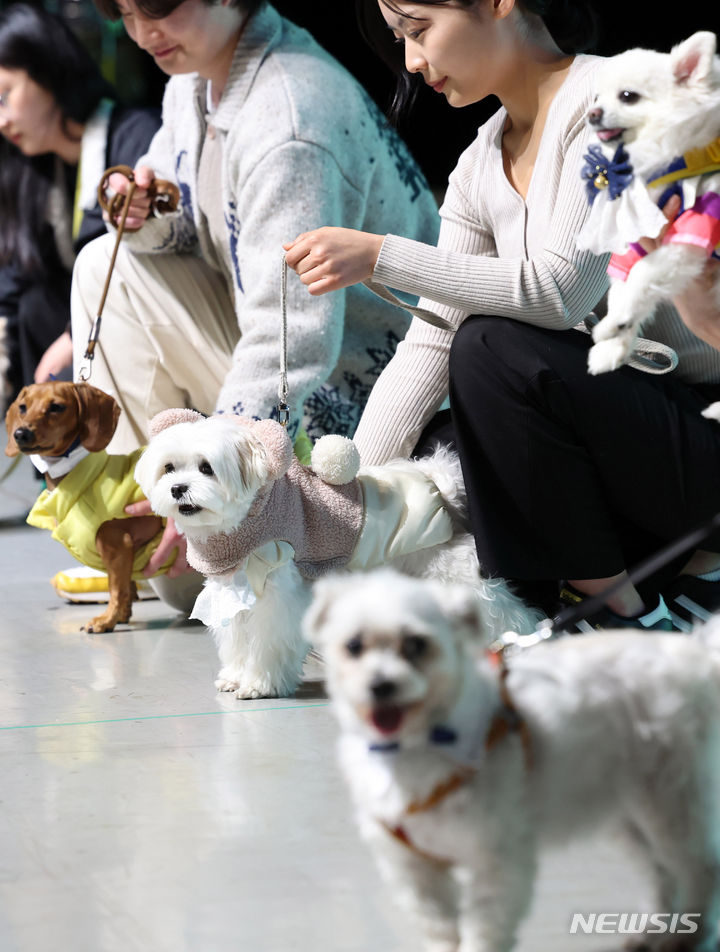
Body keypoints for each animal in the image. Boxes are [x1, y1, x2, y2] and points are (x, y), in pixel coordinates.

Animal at [135, 410, 540, 700]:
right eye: (169, 468)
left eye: (206, 468)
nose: (177, 488)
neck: (248, 519)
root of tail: (440, 487)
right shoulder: (235, 586)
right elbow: (236, 637)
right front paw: (235, 676)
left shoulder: (278, 590)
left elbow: (268, 639)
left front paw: (260, 684)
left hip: (452, 574)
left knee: (504, 613)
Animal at [306, 564, 720, 952]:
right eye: (354, 645)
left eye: (417, 644)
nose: (380, 685)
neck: (417, 745)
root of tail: (695, 651)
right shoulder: (416, 871)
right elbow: (441, 929)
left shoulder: (497, 861)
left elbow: (484, 931)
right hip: (627, 814)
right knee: (662, 873)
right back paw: (652, 931)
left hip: (668, 802)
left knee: (699, 867)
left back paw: (685, 935)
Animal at [576, 27, 720, 376]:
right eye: (597, 98)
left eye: (628, 97)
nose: (592, 113)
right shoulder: (635, 238)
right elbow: (624, 286)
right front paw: (614, 343)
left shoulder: (691, 235)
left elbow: (642, 275)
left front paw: (614, 326)